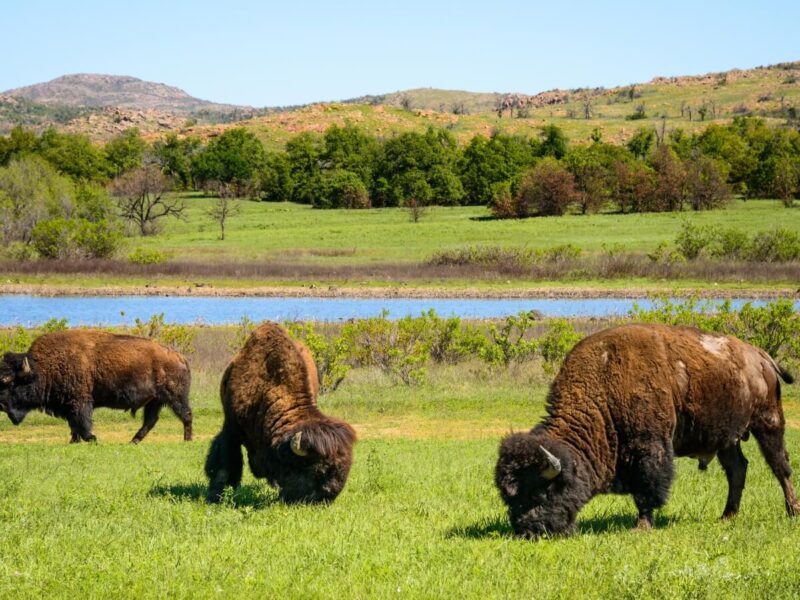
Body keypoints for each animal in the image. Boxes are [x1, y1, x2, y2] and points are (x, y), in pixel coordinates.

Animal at [0, 330, 192, 442]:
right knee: (150, 421)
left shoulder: (79, 401)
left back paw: (187, 440)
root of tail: (180, 357)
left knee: (186, 415)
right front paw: (74, 441)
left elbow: (82, 421)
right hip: (155, 400)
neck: (43, 367)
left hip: (175, 397)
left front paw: (92, 438)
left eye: (10, 382)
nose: (1, 405)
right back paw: (133, 441)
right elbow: (73, 425)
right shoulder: (69, 404)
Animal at [496, 326, 796, 536]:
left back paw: (792, 511)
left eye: (538, 493)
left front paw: (641, 526)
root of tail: (760, 356)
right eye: (509, 498)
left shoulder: (650, 448)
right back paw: (727, 516)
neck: (604, 387)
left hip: (768, 421)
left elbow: (647, 488)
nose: (527, 531)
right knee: (737, 469)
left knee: (780, 466)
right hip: (726, 438)